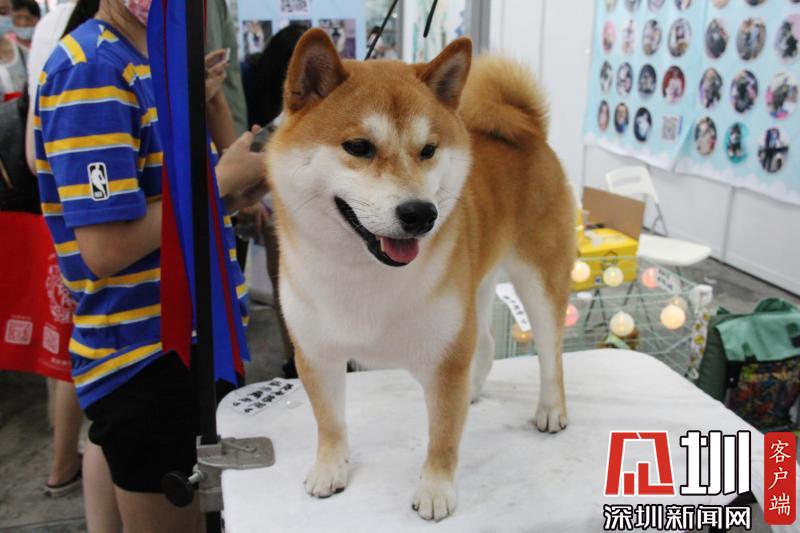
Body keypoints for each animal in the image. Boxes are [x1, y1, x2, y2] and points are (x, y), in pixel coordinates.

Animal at [265, 29, 574, 521]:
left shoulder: (445, 353)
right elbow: (329, 422)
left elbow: (443, 437)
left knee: (551, 353)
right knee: (486, 343)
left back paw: (550, 409)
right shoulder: (316, 353)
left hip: (538, 280)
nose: (420, 214)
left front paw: (435, 490)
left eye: (428, 150)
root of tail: (529, 131)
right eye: (359, 147)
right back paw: (474, 391)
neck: (363, 274)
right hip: (475, 287)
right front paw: (330, 469)